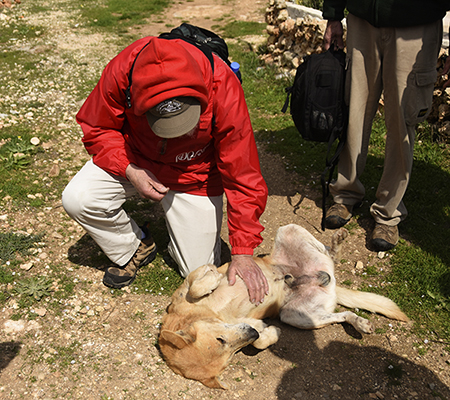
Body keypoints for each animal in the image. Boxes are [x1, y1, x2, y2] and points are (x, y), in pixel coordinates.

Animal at [158, 223, 408, 390]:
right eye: (230, 356)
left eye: (221, 340)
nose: (253, 331)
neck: (210, 313)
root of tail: (330, 282)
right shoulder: (253, 323)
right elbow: (259, 342)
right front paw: (272, 333)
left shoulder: (192, 279)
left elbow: (198, 285)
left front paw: (213, 279)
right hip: (295, 316)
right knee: (342, 313)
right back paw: (359, 322)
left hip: (288, 229)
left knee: (329, 254)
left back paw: (336, 242)